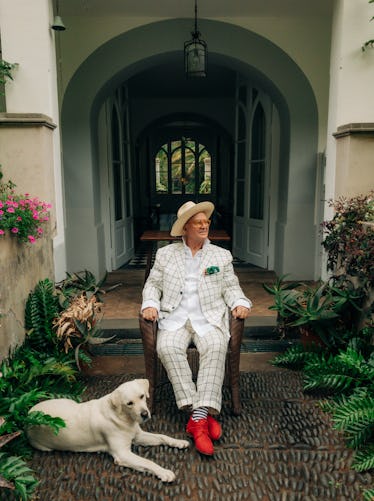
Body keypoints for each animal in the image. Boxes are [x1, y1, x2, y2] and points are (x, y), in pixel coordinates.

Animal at [26, 378, 188, 480]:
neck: (123, 417)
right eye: (129, 403)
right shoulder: (122, 454)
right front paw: (164, 472)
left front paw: (178, 442)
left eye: (142, 396)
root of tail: (28, 414)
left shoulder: (138, 436)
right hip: (45, 446)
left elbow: (162, 436)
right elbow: (148, 462)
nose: (144, 414)